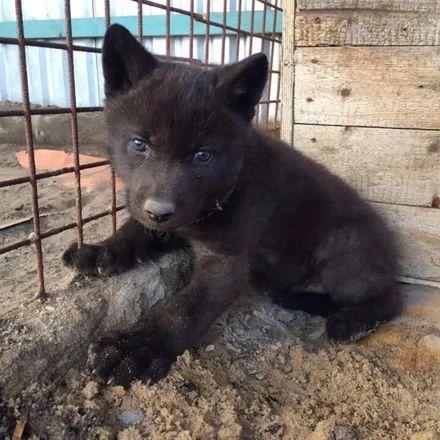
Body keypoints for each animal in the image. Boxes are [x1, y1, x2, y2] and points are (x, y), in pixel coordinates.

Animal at [62, 25, 402, 386]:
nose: (160, 211)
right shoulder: (158, 214)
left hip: (344, 250)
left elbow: (186, 309)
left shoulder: (226, 261)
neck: (224, 189)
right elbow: (133, 229)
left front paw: (137, 348)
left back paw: (350, 321)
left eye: (202, 155)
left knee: (389, 296)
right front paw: (101, 251)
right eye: (140, 144)